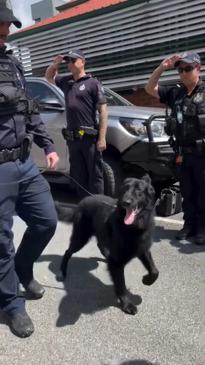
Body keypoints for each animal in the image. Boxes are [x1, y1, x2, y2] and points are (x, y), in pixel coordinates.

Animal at [55, 176, 159, 312]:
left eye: (139, 190)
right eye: (125, 189)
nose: (125, 202)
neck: (133, 227)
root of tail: (80, 203)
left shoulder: (143, 249)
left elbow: (154, 271)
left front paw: (147, 280)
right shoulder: (117, 262)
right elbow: (120, 284)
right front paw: (126, 304)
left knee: (100, 245)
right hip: (80, 238)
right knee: (67, 252)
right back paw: (62, 272)